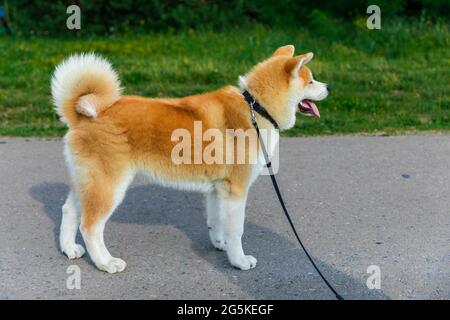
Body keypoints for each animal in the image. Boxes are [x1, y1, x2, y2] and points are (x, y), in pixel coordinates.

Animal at [51, 45, 328, 274]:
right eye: (311, 80)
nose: (330, 87)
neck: (256, 108)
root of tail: (82, 116)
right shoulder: (236, 190)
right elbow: (236, 230)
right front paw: (239, 260)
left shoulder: (218, 189)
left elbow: (216, 222)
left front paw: (220, 244)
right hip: (108, 186)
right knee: (90, 227)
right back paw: (106, 263)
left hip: (88, 182)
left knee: (69, 211)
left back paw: (69, 249)